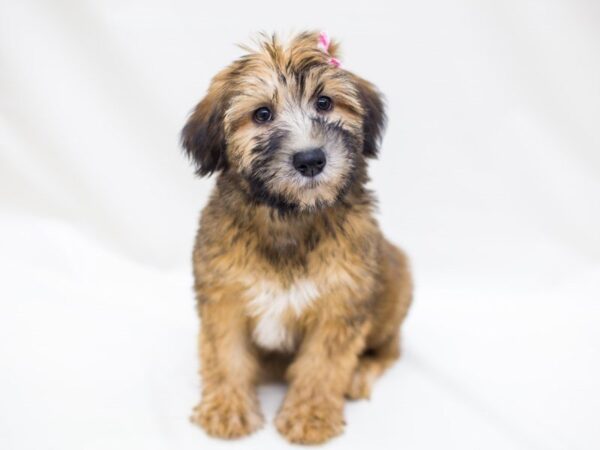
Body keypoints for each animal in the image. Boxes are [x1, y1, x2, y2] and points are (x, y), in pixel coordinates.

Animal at [180, 32, 410, 446]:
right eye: (262, 115)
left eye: (324, 102)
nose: (311, 160)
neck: (290, 216)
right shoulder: (223, 295)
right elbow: (225, 354)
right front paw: (227, 408)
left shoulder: (342, 301)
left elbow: (322, 364)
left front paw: (310, 415)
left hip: (397, 284)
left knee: (389, 348)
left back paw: (361, 372)